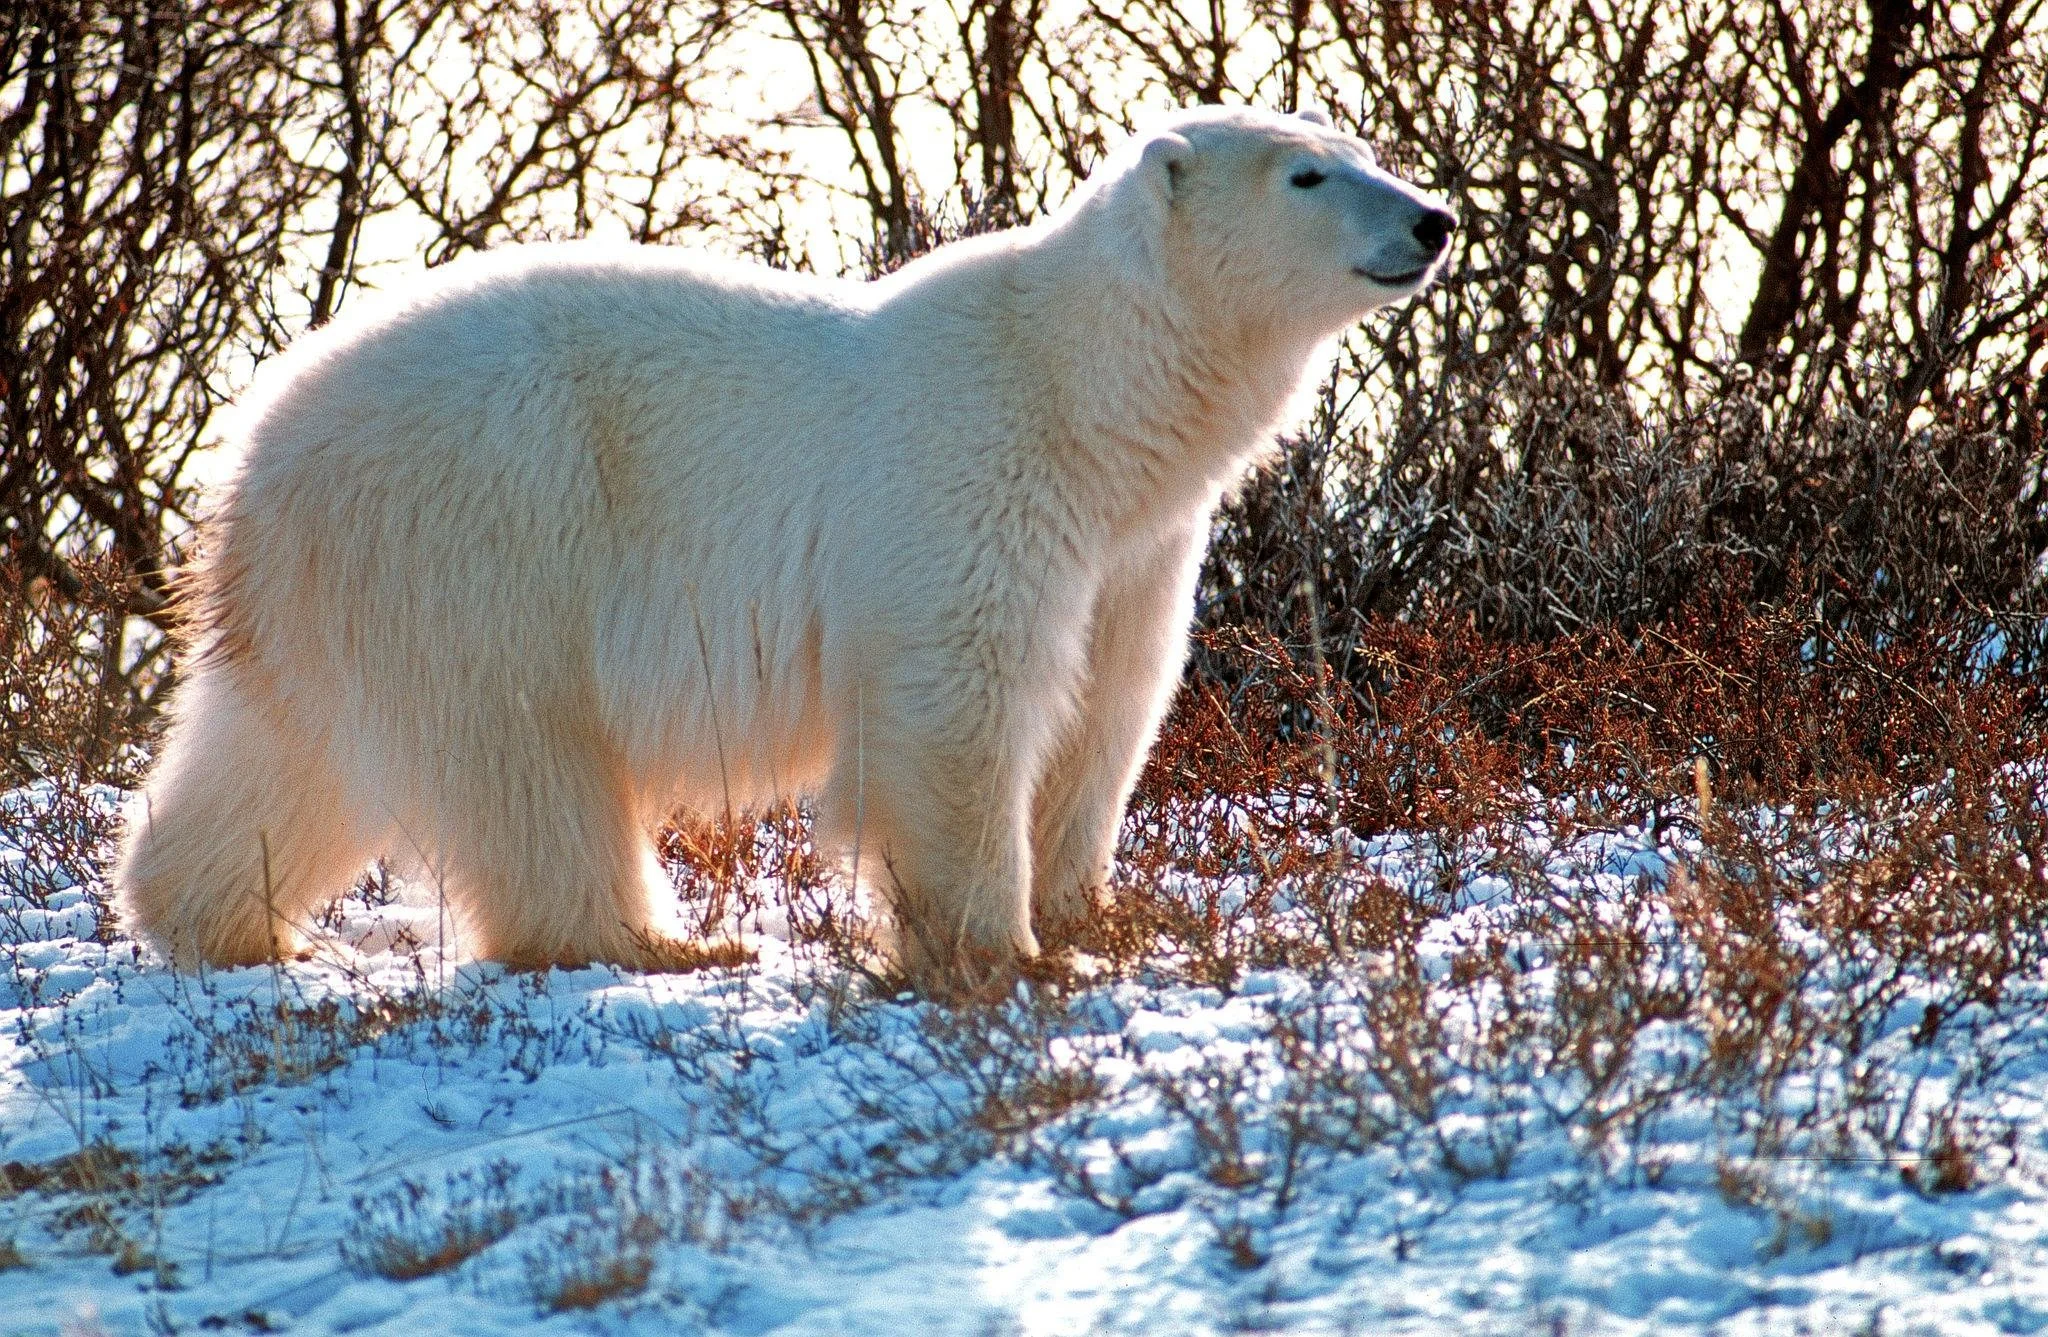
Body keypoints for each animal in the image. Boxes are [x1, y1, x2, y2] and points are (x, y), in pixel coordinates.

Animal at [114, 105, 1455, 984]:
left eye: (1362, 150)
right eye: (1306, 175)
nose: (1436, 219)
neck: (1086, 394)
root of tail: (253, 447)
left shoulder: (1132, 544)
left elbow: (1107, 705)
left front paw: (1102, 918)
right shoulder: (969, 475)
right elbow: (959, 702)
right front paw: (999, 949)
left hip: (341, 588)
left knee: (282, 753)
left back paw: (227, 920)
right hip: (482, 526)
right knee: (525, 754)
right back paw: (655, 936)